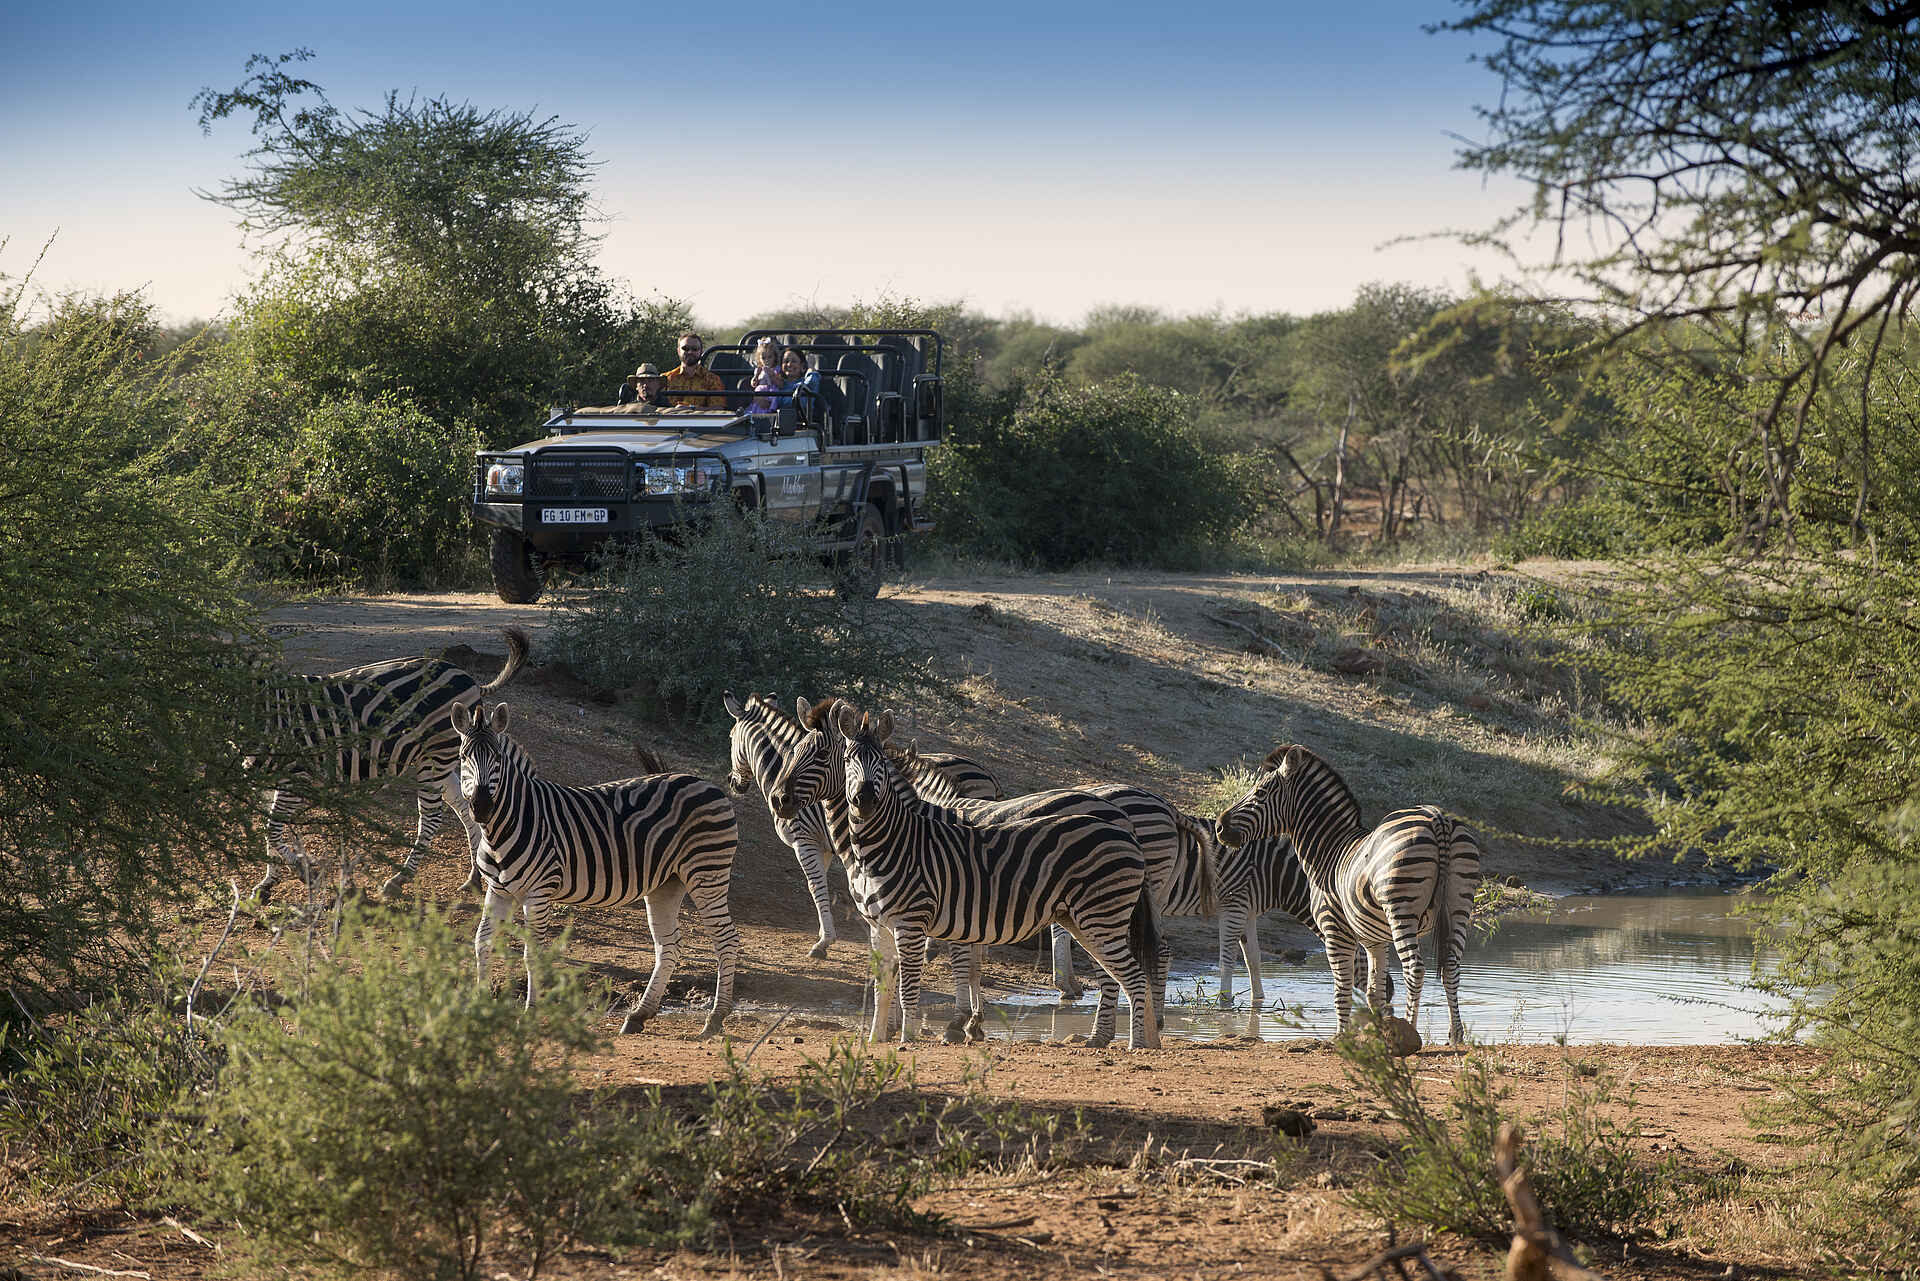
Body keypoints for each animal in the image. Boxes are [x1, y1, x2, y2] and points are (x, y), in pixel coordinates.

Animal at [248, 627, 529, 903]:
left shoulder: (295, 774)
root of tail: (468, 678)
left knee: (431, 817)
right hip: (447, 758)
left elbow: (272, 829)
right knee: (463, 807)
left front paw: (305, 872)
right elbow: (269, 829)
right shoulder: (265, 780)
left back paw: (399, 880)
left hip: (435, 758)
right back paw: (473, 878)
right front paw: (267, 884)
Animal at [450, 700, 741, 1036]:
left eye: (497, 757)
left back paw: (715, 1019)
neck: (509, 823)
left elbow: (531, 952)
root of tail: (708, 784)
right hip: (666, 884)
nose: (481, 807)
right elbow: (481, 942)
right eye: (463, 757)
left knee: (726, 939)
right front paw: (479, 1005)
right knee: (669, 946)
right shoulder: (498, 890)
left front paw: (530, 1013)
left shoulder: (539, 892)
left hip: (707, 872)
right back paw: (639, 1015)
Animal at [723, 692, 996, 1041]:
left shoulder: (807, 841)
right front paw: (890, 1023)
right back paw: (973, 1020)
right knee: (974, 954)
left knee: (966, 954)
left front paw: (823, 943)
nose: (734, 783)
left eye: (731, 737)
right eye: (794, 752)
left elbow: (816, 888)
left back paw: (960, 1021)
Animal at [810, 702, 1162, 1049]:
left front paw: (911, 1038)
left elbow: (913, 984)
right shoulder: (880, 925)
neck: (893, 841)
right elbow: (884, 985)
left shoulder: (915, 920)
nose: (865, 800)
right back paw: (1148, 1041)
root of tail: (1125, 832)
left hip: (1100, 917)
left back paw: (1135, 1044)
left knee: (1133, 976)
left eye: (880, 761)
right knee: (1130, 976)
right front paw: (877, 1038)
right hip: (1083, 919)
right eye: (846, 760)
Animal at [1215, 744, 1479, 1043]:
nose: (1220, 827)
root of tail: (1438, 818)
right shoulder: (1375, 939)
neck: (1328, 850)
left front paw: (1341, 1035)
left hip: (1402, 908)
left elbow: (1342, 986)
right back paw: (1455, 1034)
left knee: (1415, 968)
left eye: (1259, 793)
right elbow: (1374, 990)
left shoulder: (1334, 929)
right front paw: (1377, 1032)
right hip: (1459, 906)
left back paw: (1412, 1030)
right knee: (1451, 967)